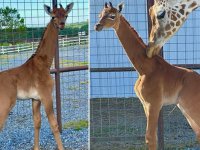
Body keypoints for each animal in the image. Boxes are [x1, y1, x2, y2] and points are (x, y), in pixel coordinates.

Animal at [0, 2, 74, 150]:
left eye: (66, 15)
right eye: (53, 16)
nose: (62, 24)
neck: (44, 63)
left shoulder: (35, 99)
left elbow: (37, 122)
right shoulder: (46, 95)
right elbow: (54, 124)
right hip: (5, 104)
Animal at [95, 1, 200, 149]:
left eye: (112, 16)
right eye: (100, 15)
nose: (97, 26)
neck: (144, 68)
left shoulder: (153, 103)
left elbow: (150, 137)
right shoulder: (145, 104)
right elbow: (153, 137)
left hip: (191, 106)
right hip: (185, 108)